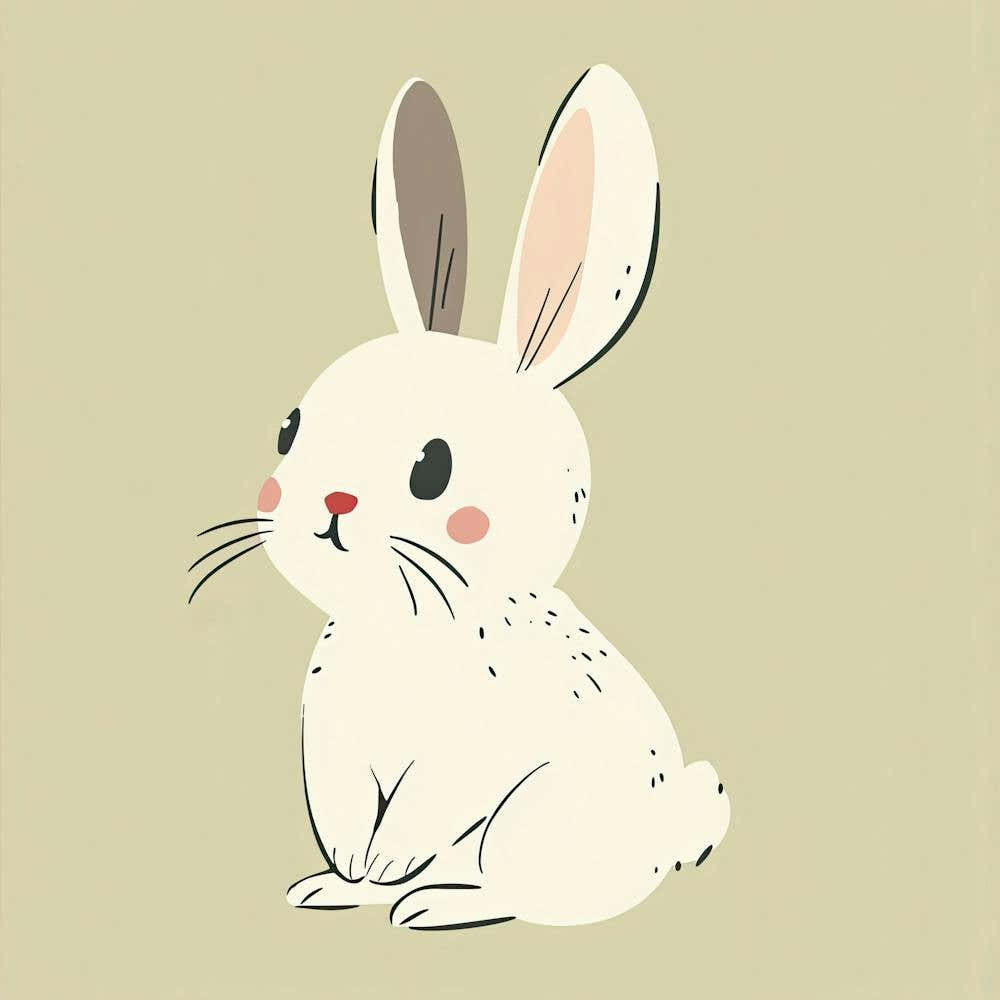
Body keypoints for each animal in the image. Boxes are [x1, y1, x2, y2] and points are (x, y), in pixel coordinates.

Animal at [192, 65, 730, 929]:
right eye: (288, 429)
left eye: (433, 468)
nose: (332, 501)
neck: (400, 626)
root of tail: (663, 842)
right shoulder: (332, 751)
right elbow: (345, 818)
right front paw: (344, 877)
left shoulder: (465, 758)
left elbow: (417, 815)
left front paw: (384, 868)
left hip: (531, 827)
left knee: (513, 892)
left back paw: (431, 904)